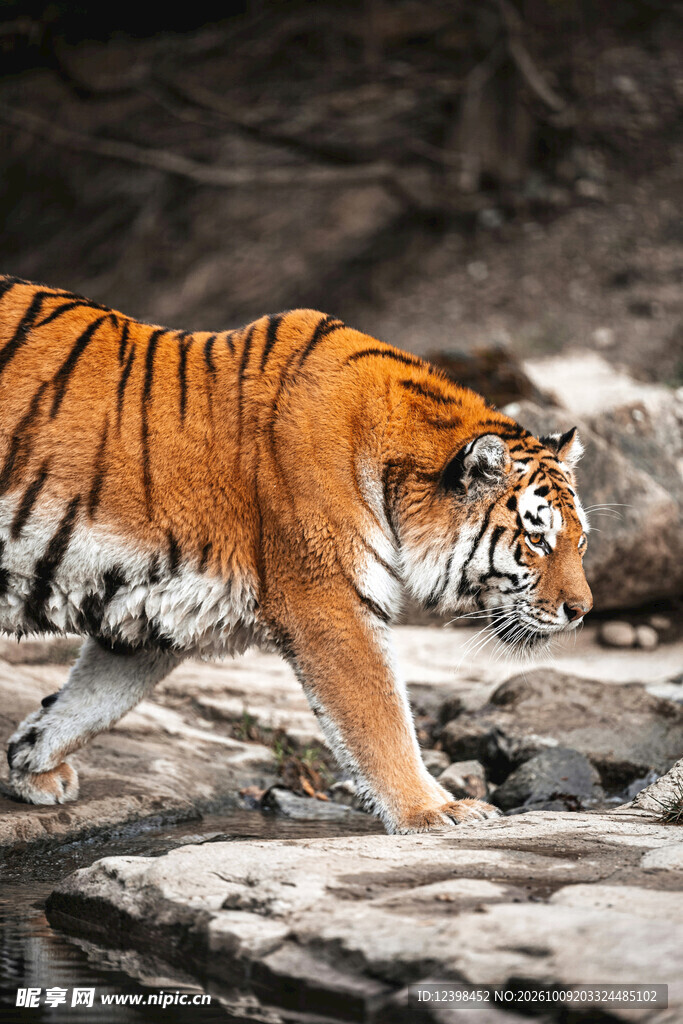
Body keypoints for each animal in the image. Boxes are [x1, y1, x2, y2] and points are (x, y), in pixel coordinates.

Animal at [0, 275, 592, 833]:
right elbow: (381, 717)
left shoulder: (152, 606)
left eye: (579, 542)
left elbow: (93, 700)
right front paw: (436, 809)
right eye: (537, 540)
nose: (582, 611)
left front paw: (32, 762)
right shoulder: (328, 603)